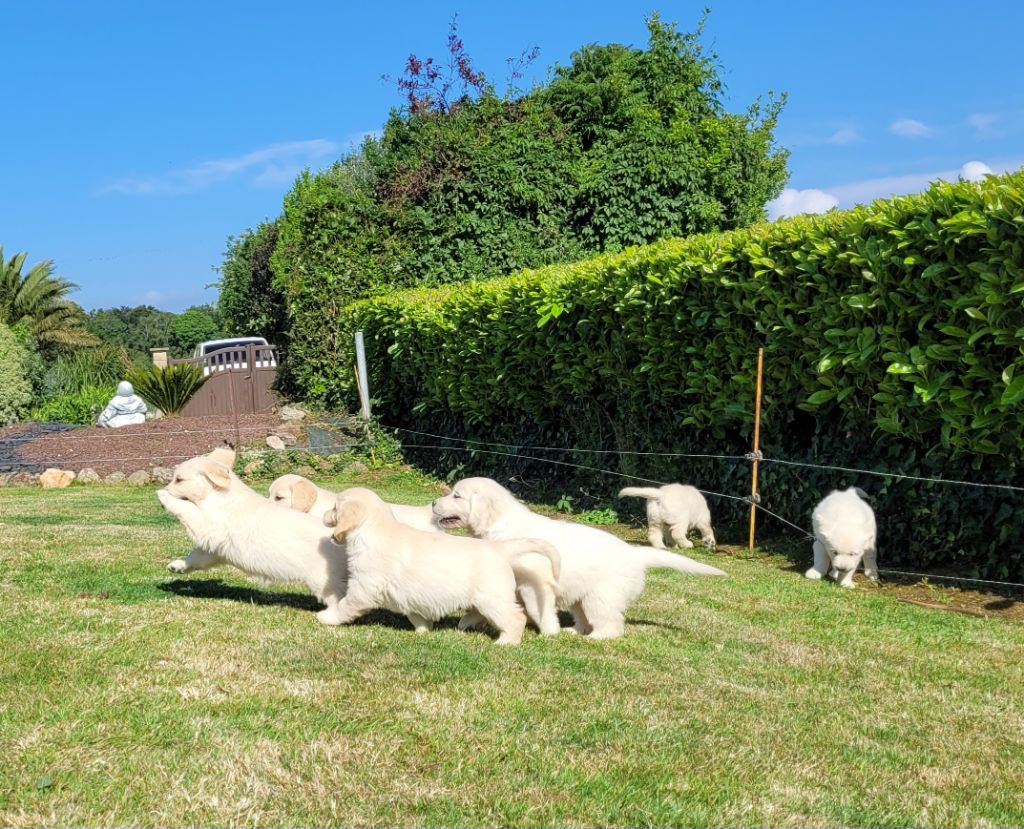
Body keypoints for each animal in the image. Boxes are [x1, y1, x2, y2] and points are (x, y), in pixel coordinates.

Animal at [155, 448, 348, 618]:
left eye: (179, 480)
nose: (163, 491)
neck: (220, 498)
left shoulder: (208, 526)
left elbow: (186, 509)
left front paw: (164, 496)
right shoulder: (215, 549)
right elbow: (196, 557)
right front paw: (178, 565)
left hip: (324, 581)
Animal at [319, 485, 561, 646]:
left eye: (334, 508)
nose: (323, 515)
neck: (373, 530)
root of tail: (500, 549)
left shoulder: (363, 587)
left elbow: (345, 605)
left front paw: (326, 617)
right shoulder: (407, 596)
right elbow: (415, 615)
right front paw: (424, 630)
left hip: (493, 599)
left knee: (516, 617)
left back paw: (506, 642)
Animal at [432, 474, 729, 634]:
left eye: (457, 496)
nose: (434, 502)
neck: (501, 525)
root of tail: (634, 554)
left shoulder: (534, 582)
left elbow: (539, 609)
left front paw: (548, 632)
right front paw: (467, 621)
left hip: (602, 597)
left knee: (611, 626)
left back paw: (592, 637)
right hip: (581, 597)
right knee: (585, 620)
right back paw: (573, 631)